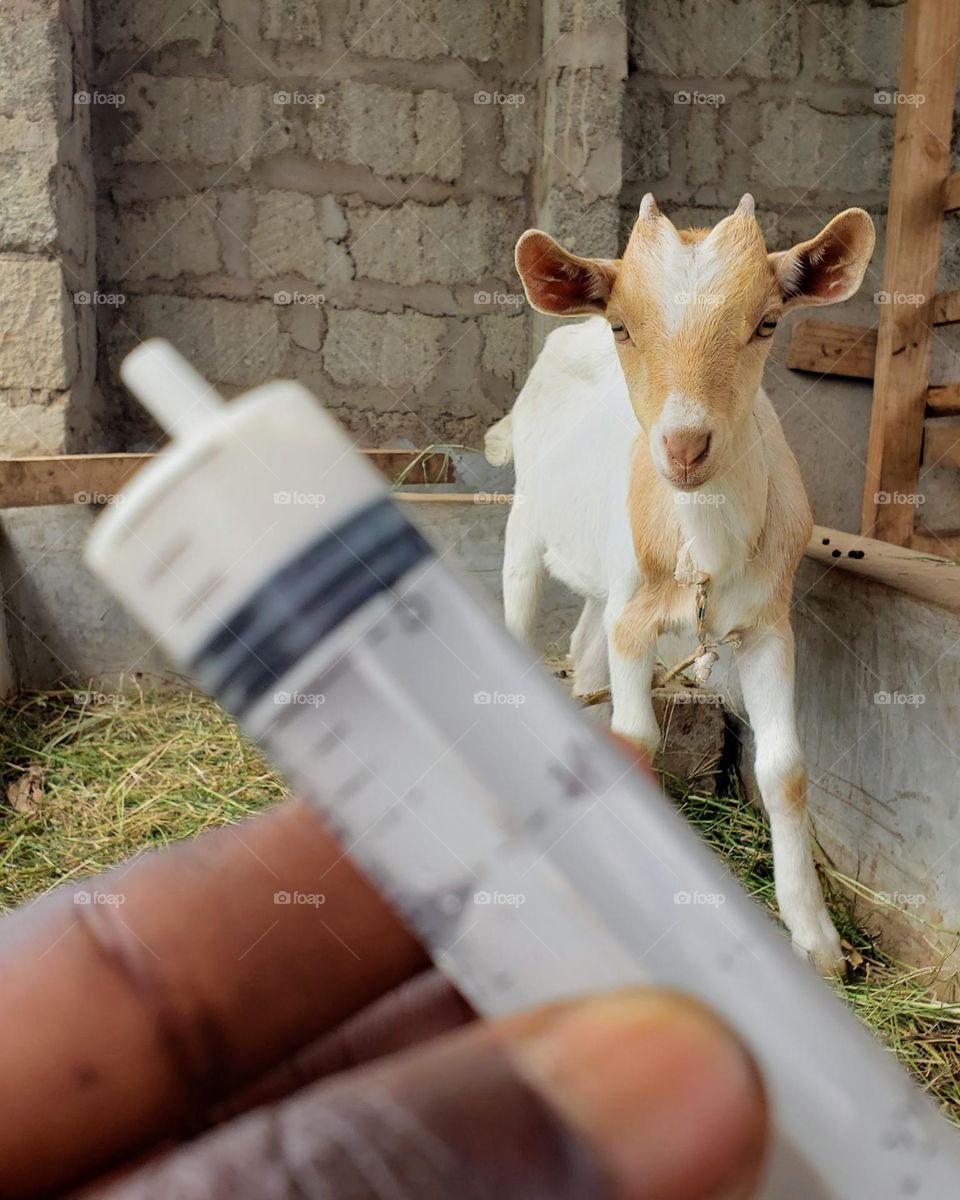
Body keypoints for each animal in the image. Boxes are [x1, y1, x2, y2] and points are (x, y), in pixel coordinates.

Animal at [486, 193, 875, 974]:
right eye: (623, 325)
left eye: (766, 322)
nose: (685, 447)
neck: (704, 552)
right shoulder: (636, 624)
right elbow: (637, 739)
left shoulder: (767, 626)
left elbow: (785, 768)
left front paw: (818, 941)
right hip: (527, 527)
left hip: (606, 586)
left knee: (584, 651)